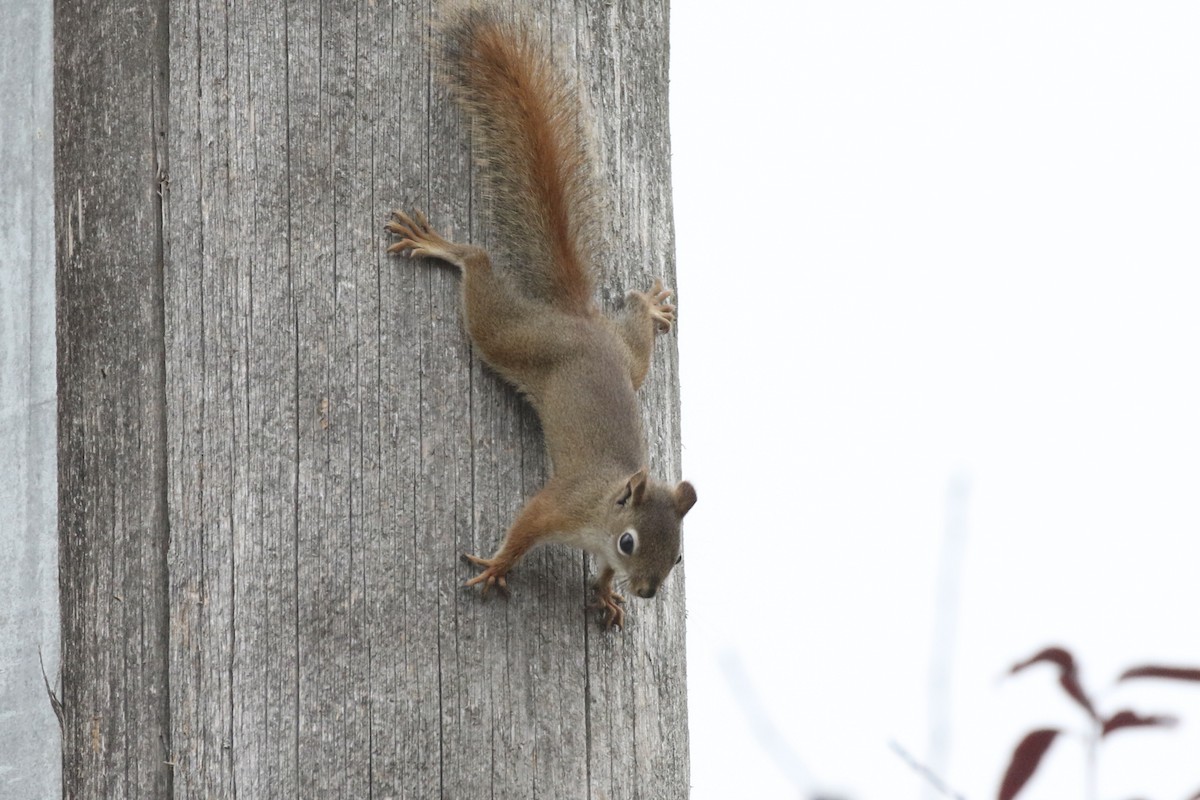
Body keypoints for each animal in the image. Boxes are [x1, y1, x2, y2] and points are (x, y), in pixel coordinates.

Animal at [385, 7, 696, 631]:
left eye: (679, 555)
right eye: (630, 542)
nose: (647, 591)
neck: (601, 514)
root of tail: (578, 319)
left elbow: (598, 575)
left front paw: (606, 594)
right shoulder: (560, 505)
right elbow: (524, 527)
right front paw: (499, 567)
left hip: (626, 361)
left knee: (636, 337)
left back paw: (650, 307)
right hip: (511, 337)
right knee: (479, 271)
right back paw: (440, 246)